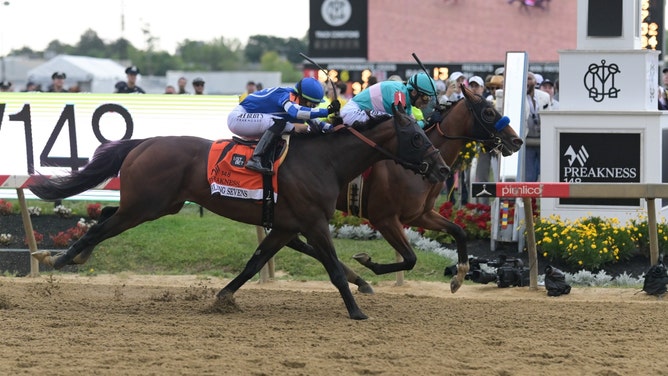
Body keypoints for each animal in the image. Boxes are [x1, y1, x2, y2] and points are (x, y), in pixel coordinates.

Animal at [30, 106, 448, 320]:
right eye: (416, 137)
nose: (442, 169)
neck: (324, 161)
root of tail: (145, 142)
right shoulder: (314, 222)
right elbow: (331, 268)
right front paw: (357, 309)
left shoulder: (286, 226)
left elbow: (254, 263)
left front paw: (223, 297)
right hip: (145, 206)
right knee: (99, 228)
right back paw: (60, 258)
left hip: (156, 204)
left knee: (103, 215)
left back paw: (72, 254)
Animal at [290, 84, 524, 294]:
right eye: (488, 112)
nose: (517, 140)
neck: (415, 168)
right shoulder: (384, 218)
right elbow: (410, 258)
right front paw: (366, 261)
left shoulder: (420, 214)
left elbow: (459, 231)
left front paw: (459, 277)